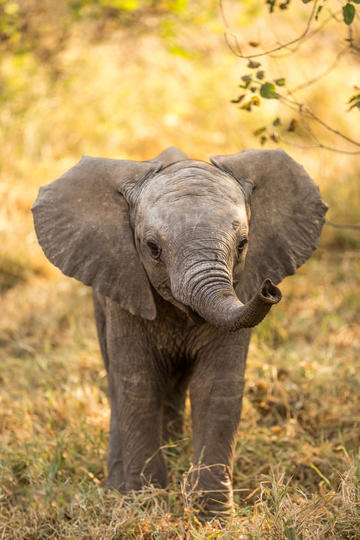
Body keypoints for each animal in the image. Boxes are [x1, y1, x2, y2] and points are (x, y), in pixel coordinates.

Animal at [32, 146, 328, 516]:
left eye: (243, 244)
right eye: (152, 248)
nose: (269, 290)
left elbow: (215, 387)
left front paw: (211, 516)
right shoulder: (124, 295)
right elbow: (138, 383)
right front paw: (146, 503)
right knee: (117, 379)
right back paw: (118, 485)